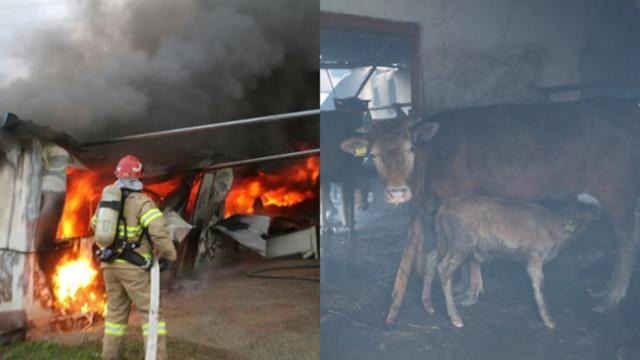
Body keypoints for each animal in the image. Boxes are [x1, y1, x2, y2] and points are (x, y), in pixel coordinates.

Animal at [422, 194, 604, 330]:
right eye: (590, 218)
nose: (603, 242)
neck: (556, 227)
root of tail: (444, 208)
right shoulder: (535, 256)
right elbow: (539, 283)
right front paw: (547, 319)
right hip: (460, 245)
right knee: (444, 269)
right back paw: (455, 317)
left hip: (444, 241)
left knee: (431, 259)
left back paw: (428, 304)